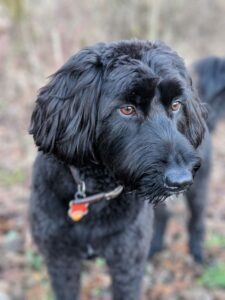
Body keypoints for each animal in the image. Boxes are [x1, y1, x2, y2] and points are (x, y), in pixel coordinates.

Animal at [29, 40, 207, 300]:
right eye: (127, 109)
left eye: (176, 105)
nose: (180, 180)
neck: (96, 190)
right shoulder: (60, 259)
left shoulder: (126, 262)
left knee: (196, 217)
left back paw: (197, 252)